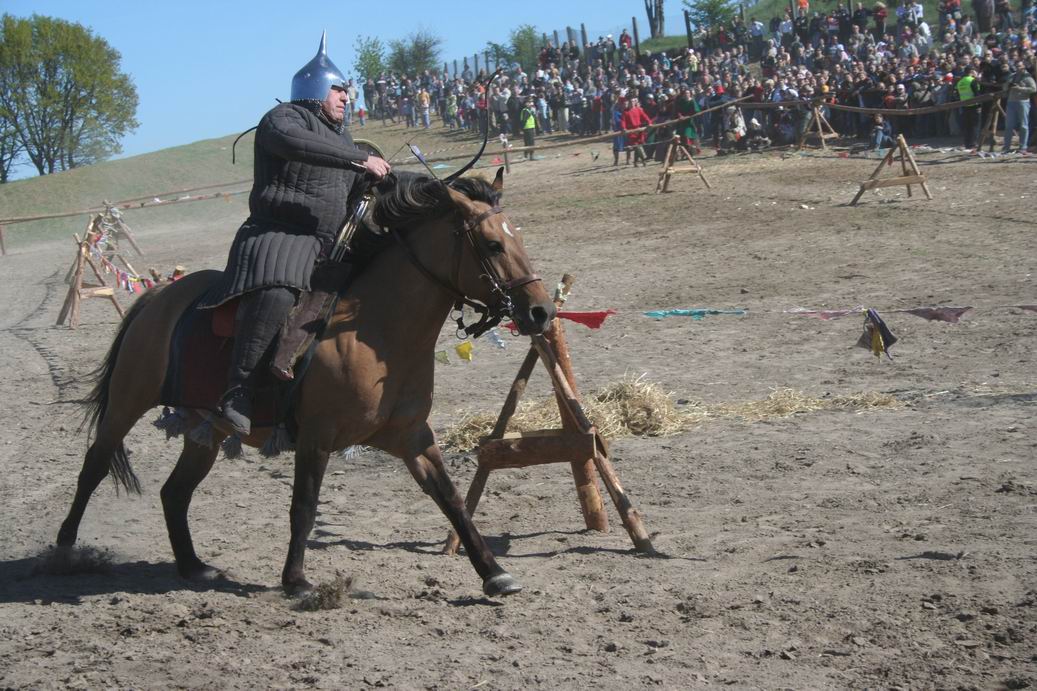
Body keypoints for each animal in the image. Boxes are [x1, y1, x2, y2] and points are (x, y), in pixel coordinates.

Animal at [55, 168, 556, 597]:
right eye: (492, 245)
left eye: (517, 239)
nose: (540, 311)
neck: (375, 332)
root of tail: (160, 296)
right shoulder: (316, 437)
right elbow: (304, 506)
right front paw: (296, 581)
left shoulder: (413, 437)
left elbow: (452, 499)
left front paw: (494, 573)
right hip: (126, 403)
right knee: (94, 466)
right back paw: (65, 551)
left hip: (206, 431)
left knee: (174, 492)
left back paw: (193, 566)